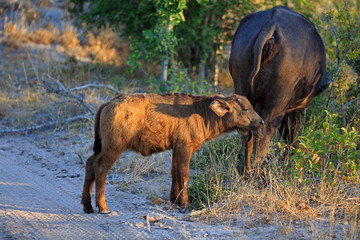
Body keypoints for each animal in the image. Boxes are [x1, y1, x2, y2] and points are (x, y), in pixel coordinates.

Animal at [81, 93, 262, 213]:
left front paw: (174, 199)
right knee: (101, 168)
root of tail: (109, 103)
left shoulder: (176, 149)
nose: (261, 121)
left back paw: (87, 205)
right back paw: (102, 207)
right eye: (246, 109)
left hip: (102, 147)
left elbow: (175, 172)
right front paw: (184, 204)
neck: (200, 112)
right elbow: (183, 174)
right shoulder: (184, 147)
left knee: (90, 163)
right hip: (113, 148)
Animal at [229, 5, 328, 174]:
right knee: (265, 131)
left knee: (247, 133)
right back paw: (257, 172)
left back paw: (245, 172)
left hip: (244, 90)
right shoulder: (296, 109)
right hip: (278, 102)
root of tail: (271, 25)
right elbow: (293, 133)